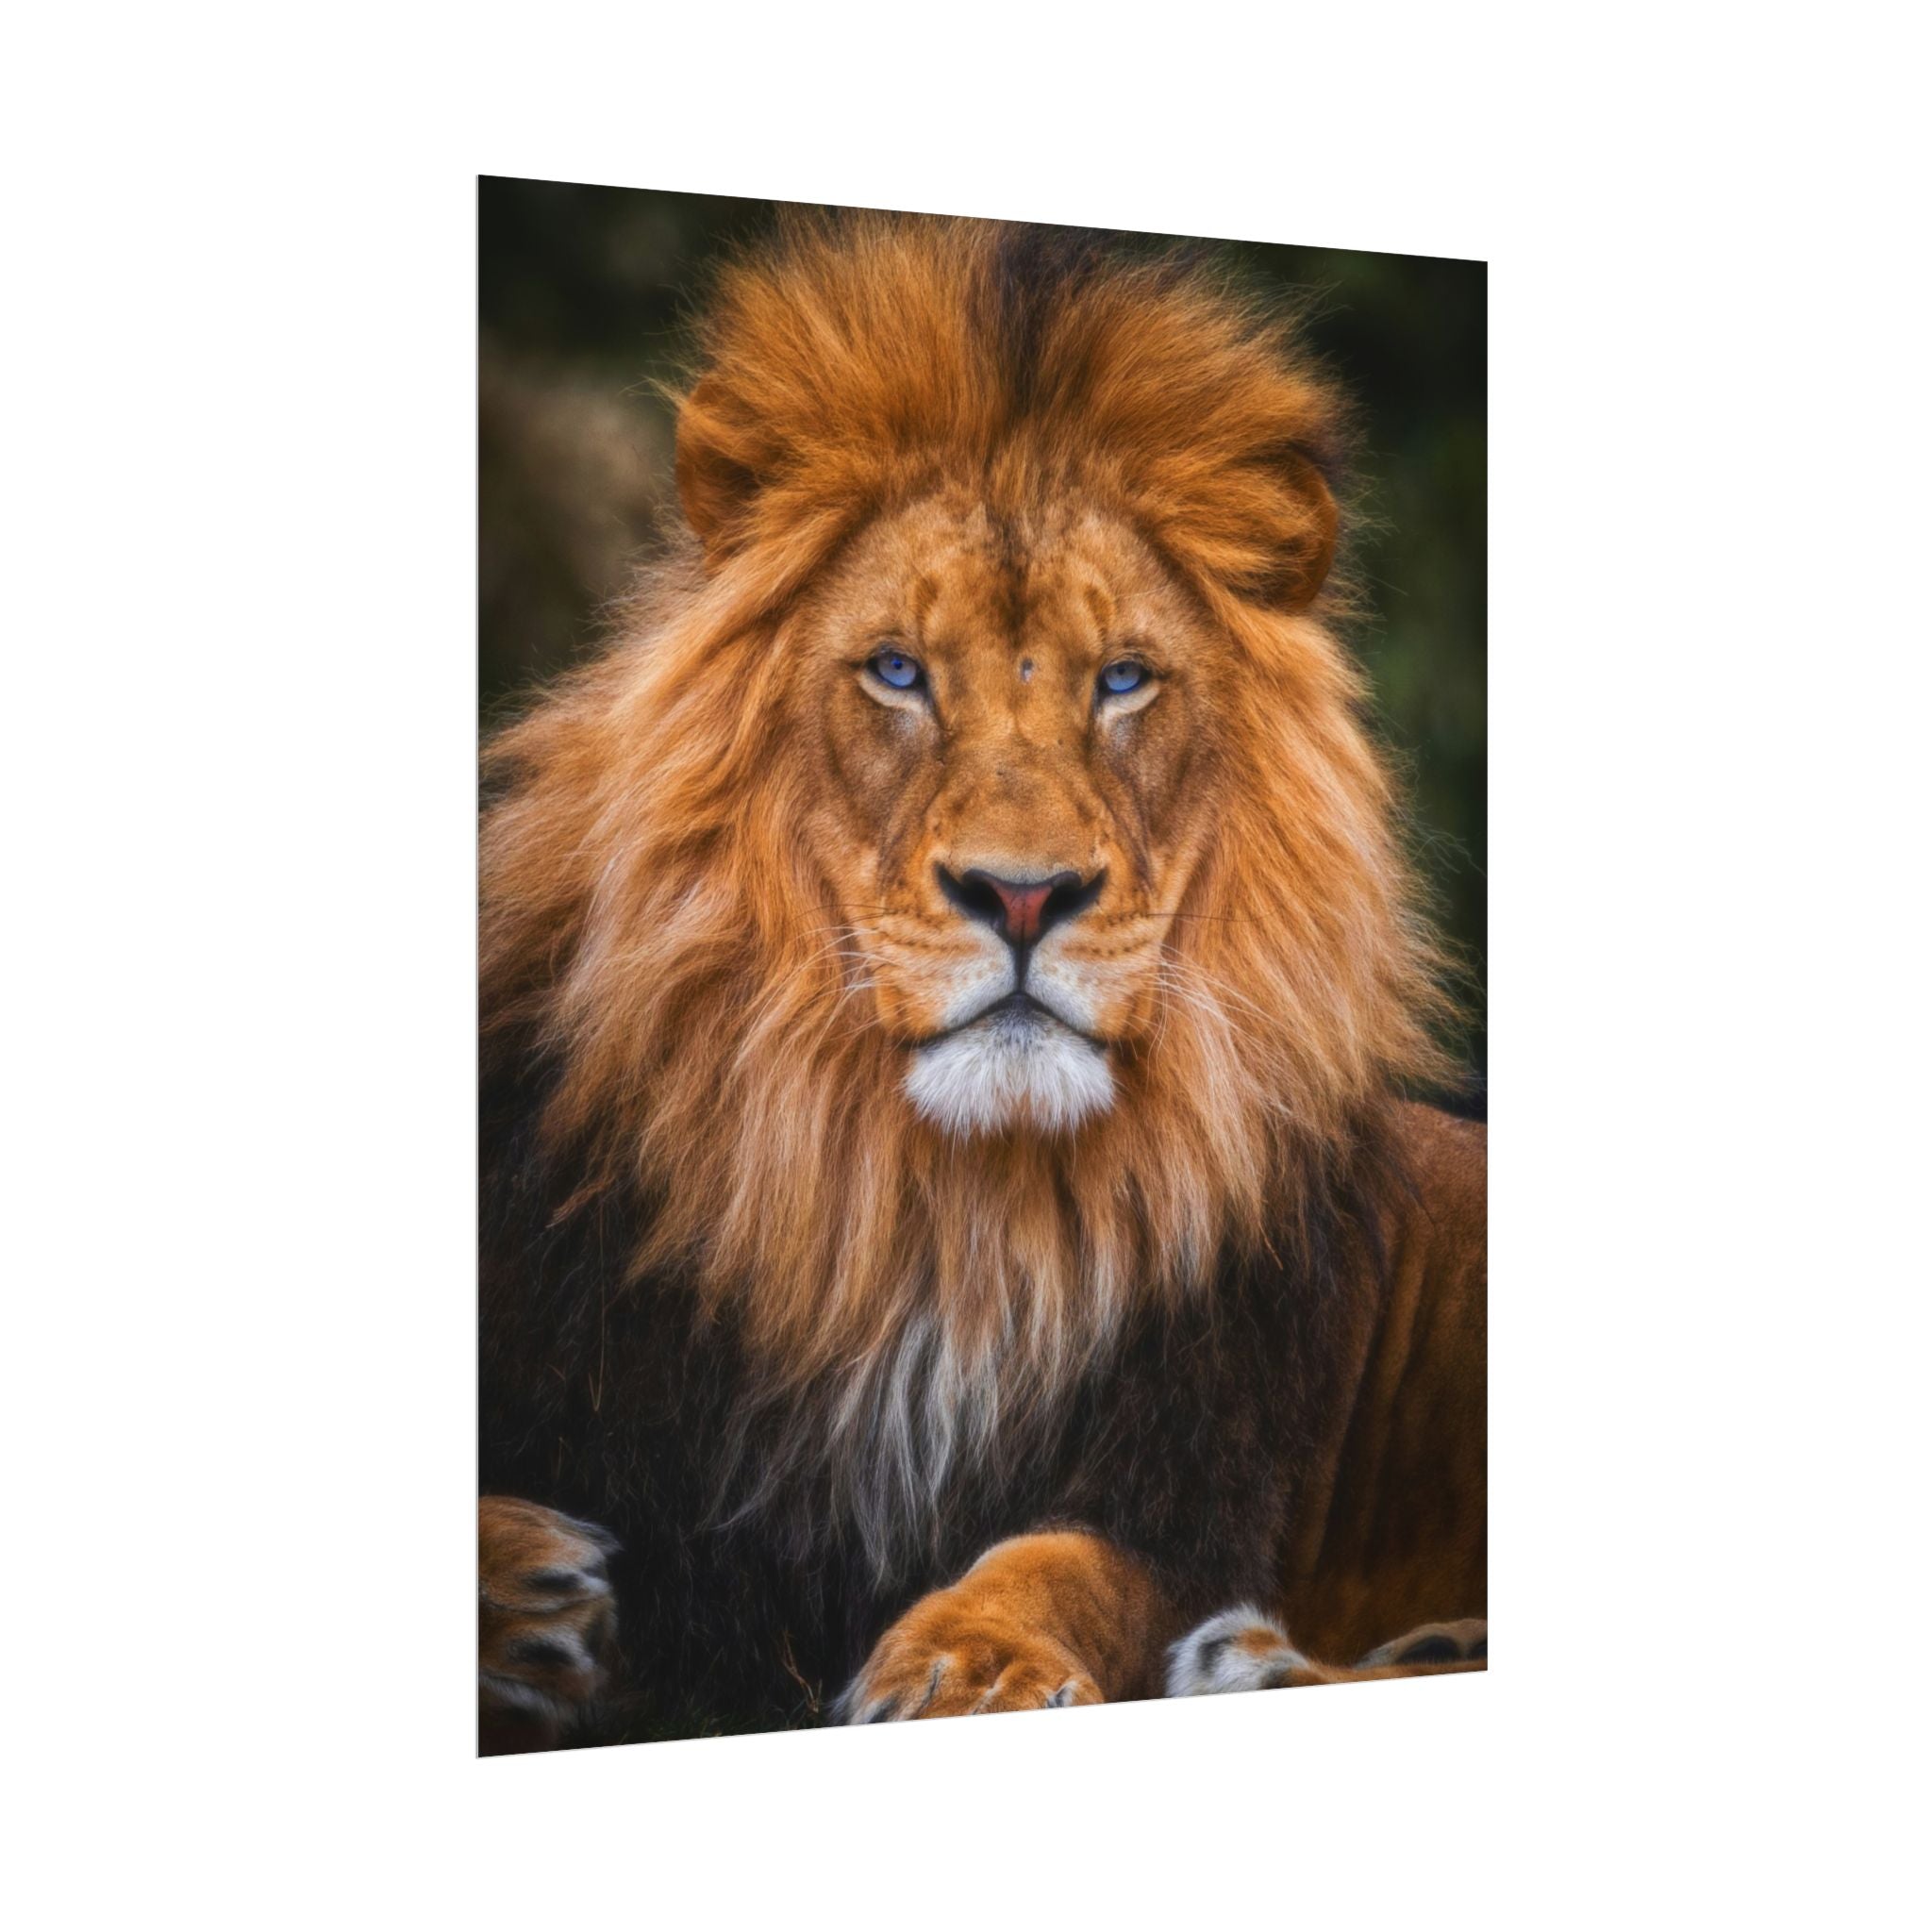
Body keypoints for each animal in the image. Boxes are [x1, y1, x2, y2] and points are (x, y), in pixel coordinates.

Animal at [478, 213, 1485, 1750]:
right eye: (898, 671)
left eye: (1122, 680)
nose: (1022, 894)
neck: (936, 1212)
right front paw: (527, 1592)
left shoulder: (1192, 1487)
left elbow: (1065, 1561)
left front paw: (969, 1660)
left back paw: (1259, 1661)